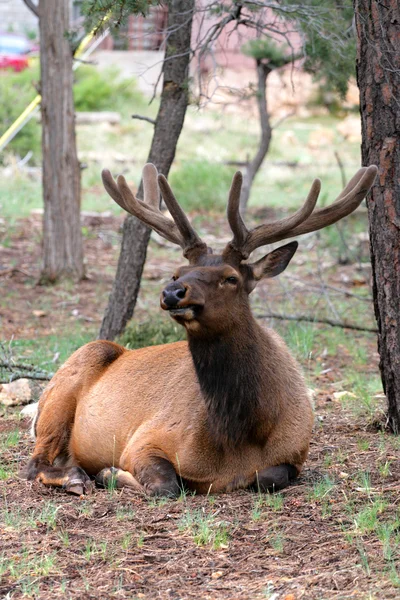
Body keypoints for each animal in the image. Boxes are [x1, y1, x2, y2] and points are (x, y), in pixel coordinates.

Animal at [27, 164, 378, 496]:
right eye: (177, 272)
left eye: (230, 277)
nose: (173, 292)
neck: (241, 435)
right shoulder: (144, 439)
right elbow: (167, 485)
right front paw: (110, 473)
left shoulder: (296, 450)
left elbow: (269, 477)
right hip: (65, 387)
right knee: (35, 465)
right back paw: (76, 478)